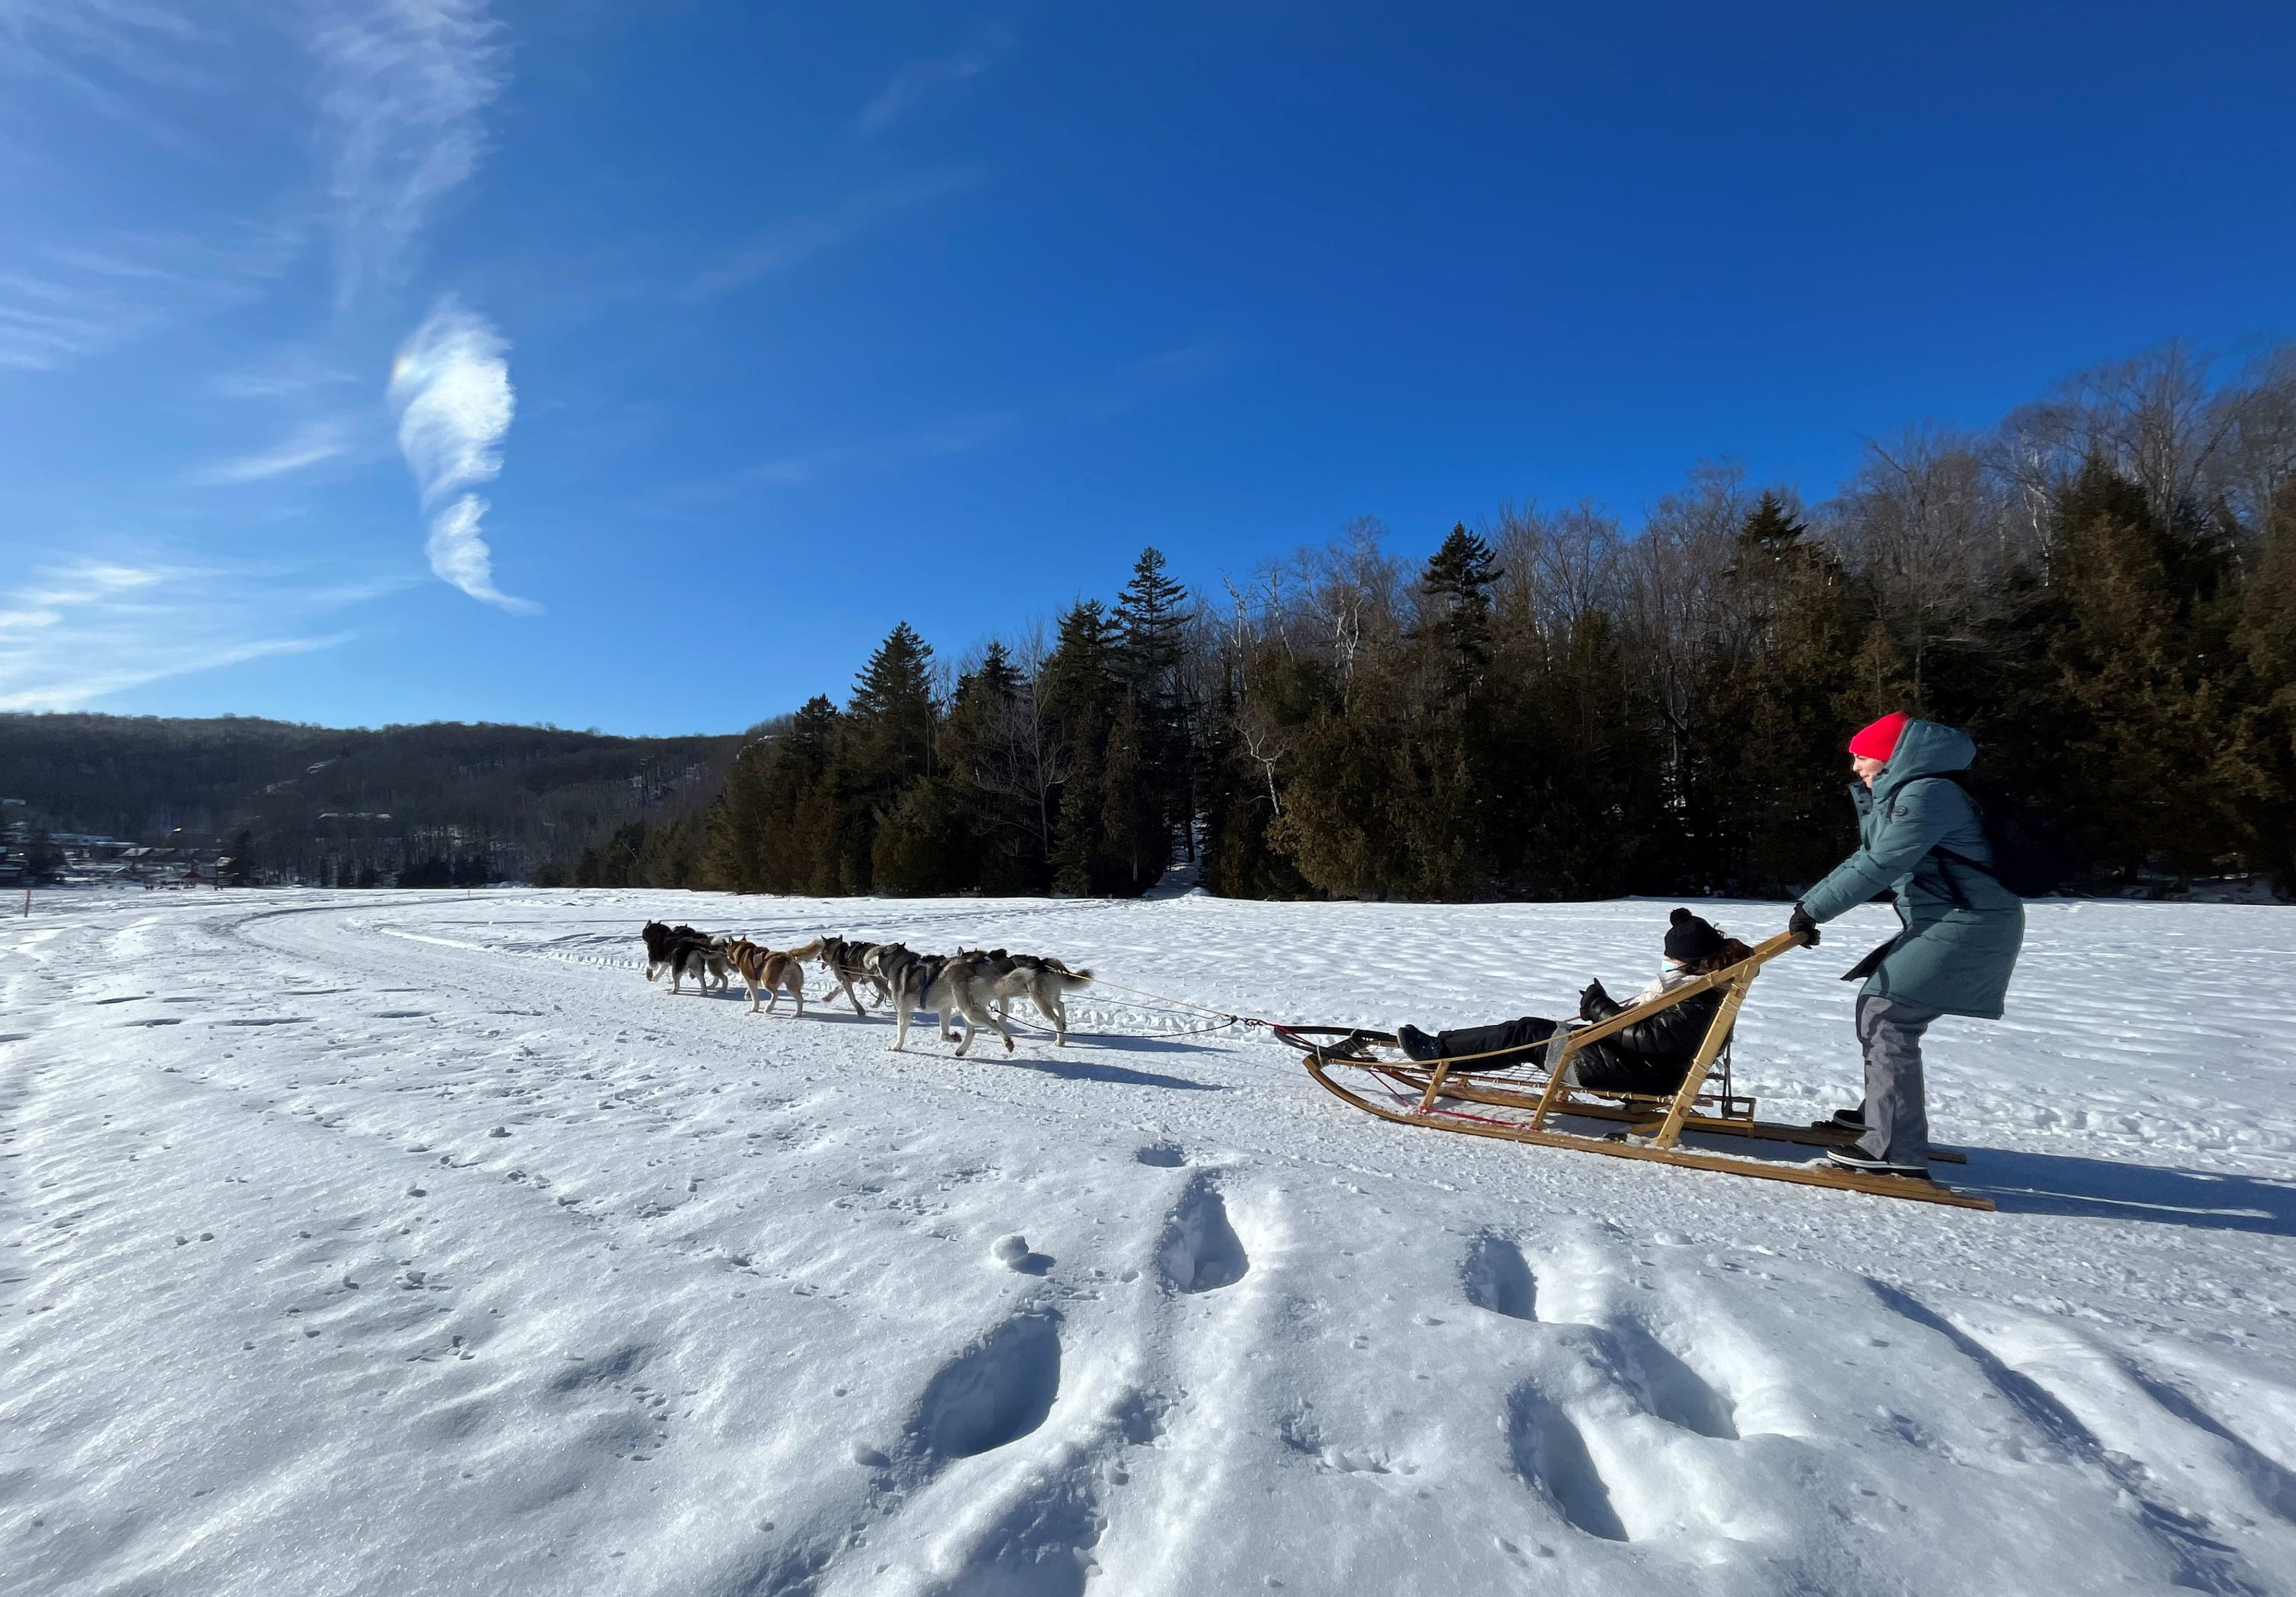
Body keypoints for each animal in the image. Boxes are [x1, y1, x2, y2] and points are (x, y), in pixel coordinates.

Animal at [725, 936, 826, 1009]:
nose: (728, 960)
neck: (743, 951)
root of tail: (786, 956)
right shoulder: (753, 980)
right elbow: (749, 989)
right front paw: (747, 995)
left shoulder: (751, 980)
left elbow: (755, 997)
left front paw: (753, 1009)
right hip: (791, 986)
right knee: (800, 1000)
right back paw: (796, 1014)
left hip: (766, 981)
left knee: (776, 994)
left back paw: (769, 1008)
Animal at [817, 936, 886, 1023]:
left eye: (822, 950)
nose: (818, 957)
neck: (836, 951)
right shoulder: (847, 981)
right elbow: (837, 989)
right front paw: (828, 998)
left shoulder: (844, 981)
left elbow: (852, 998)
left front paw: (860, 1011)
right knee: (883, 995)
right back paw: (876, 1004)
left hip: (876, 980)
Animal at [872, 949, 1010, 1059]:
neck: (899, 965)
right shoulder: (944, 1009)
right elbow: (943, 1035)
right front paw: (952, 1037)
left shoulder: (903, 1013)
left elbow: (900, 1034)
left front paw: (896, 1047)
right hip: (965, 1009)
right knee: (972, 1031)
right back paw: (961, 1050)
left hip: (968, 1011)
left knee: (993, 1022)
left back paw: (1007, 1041)